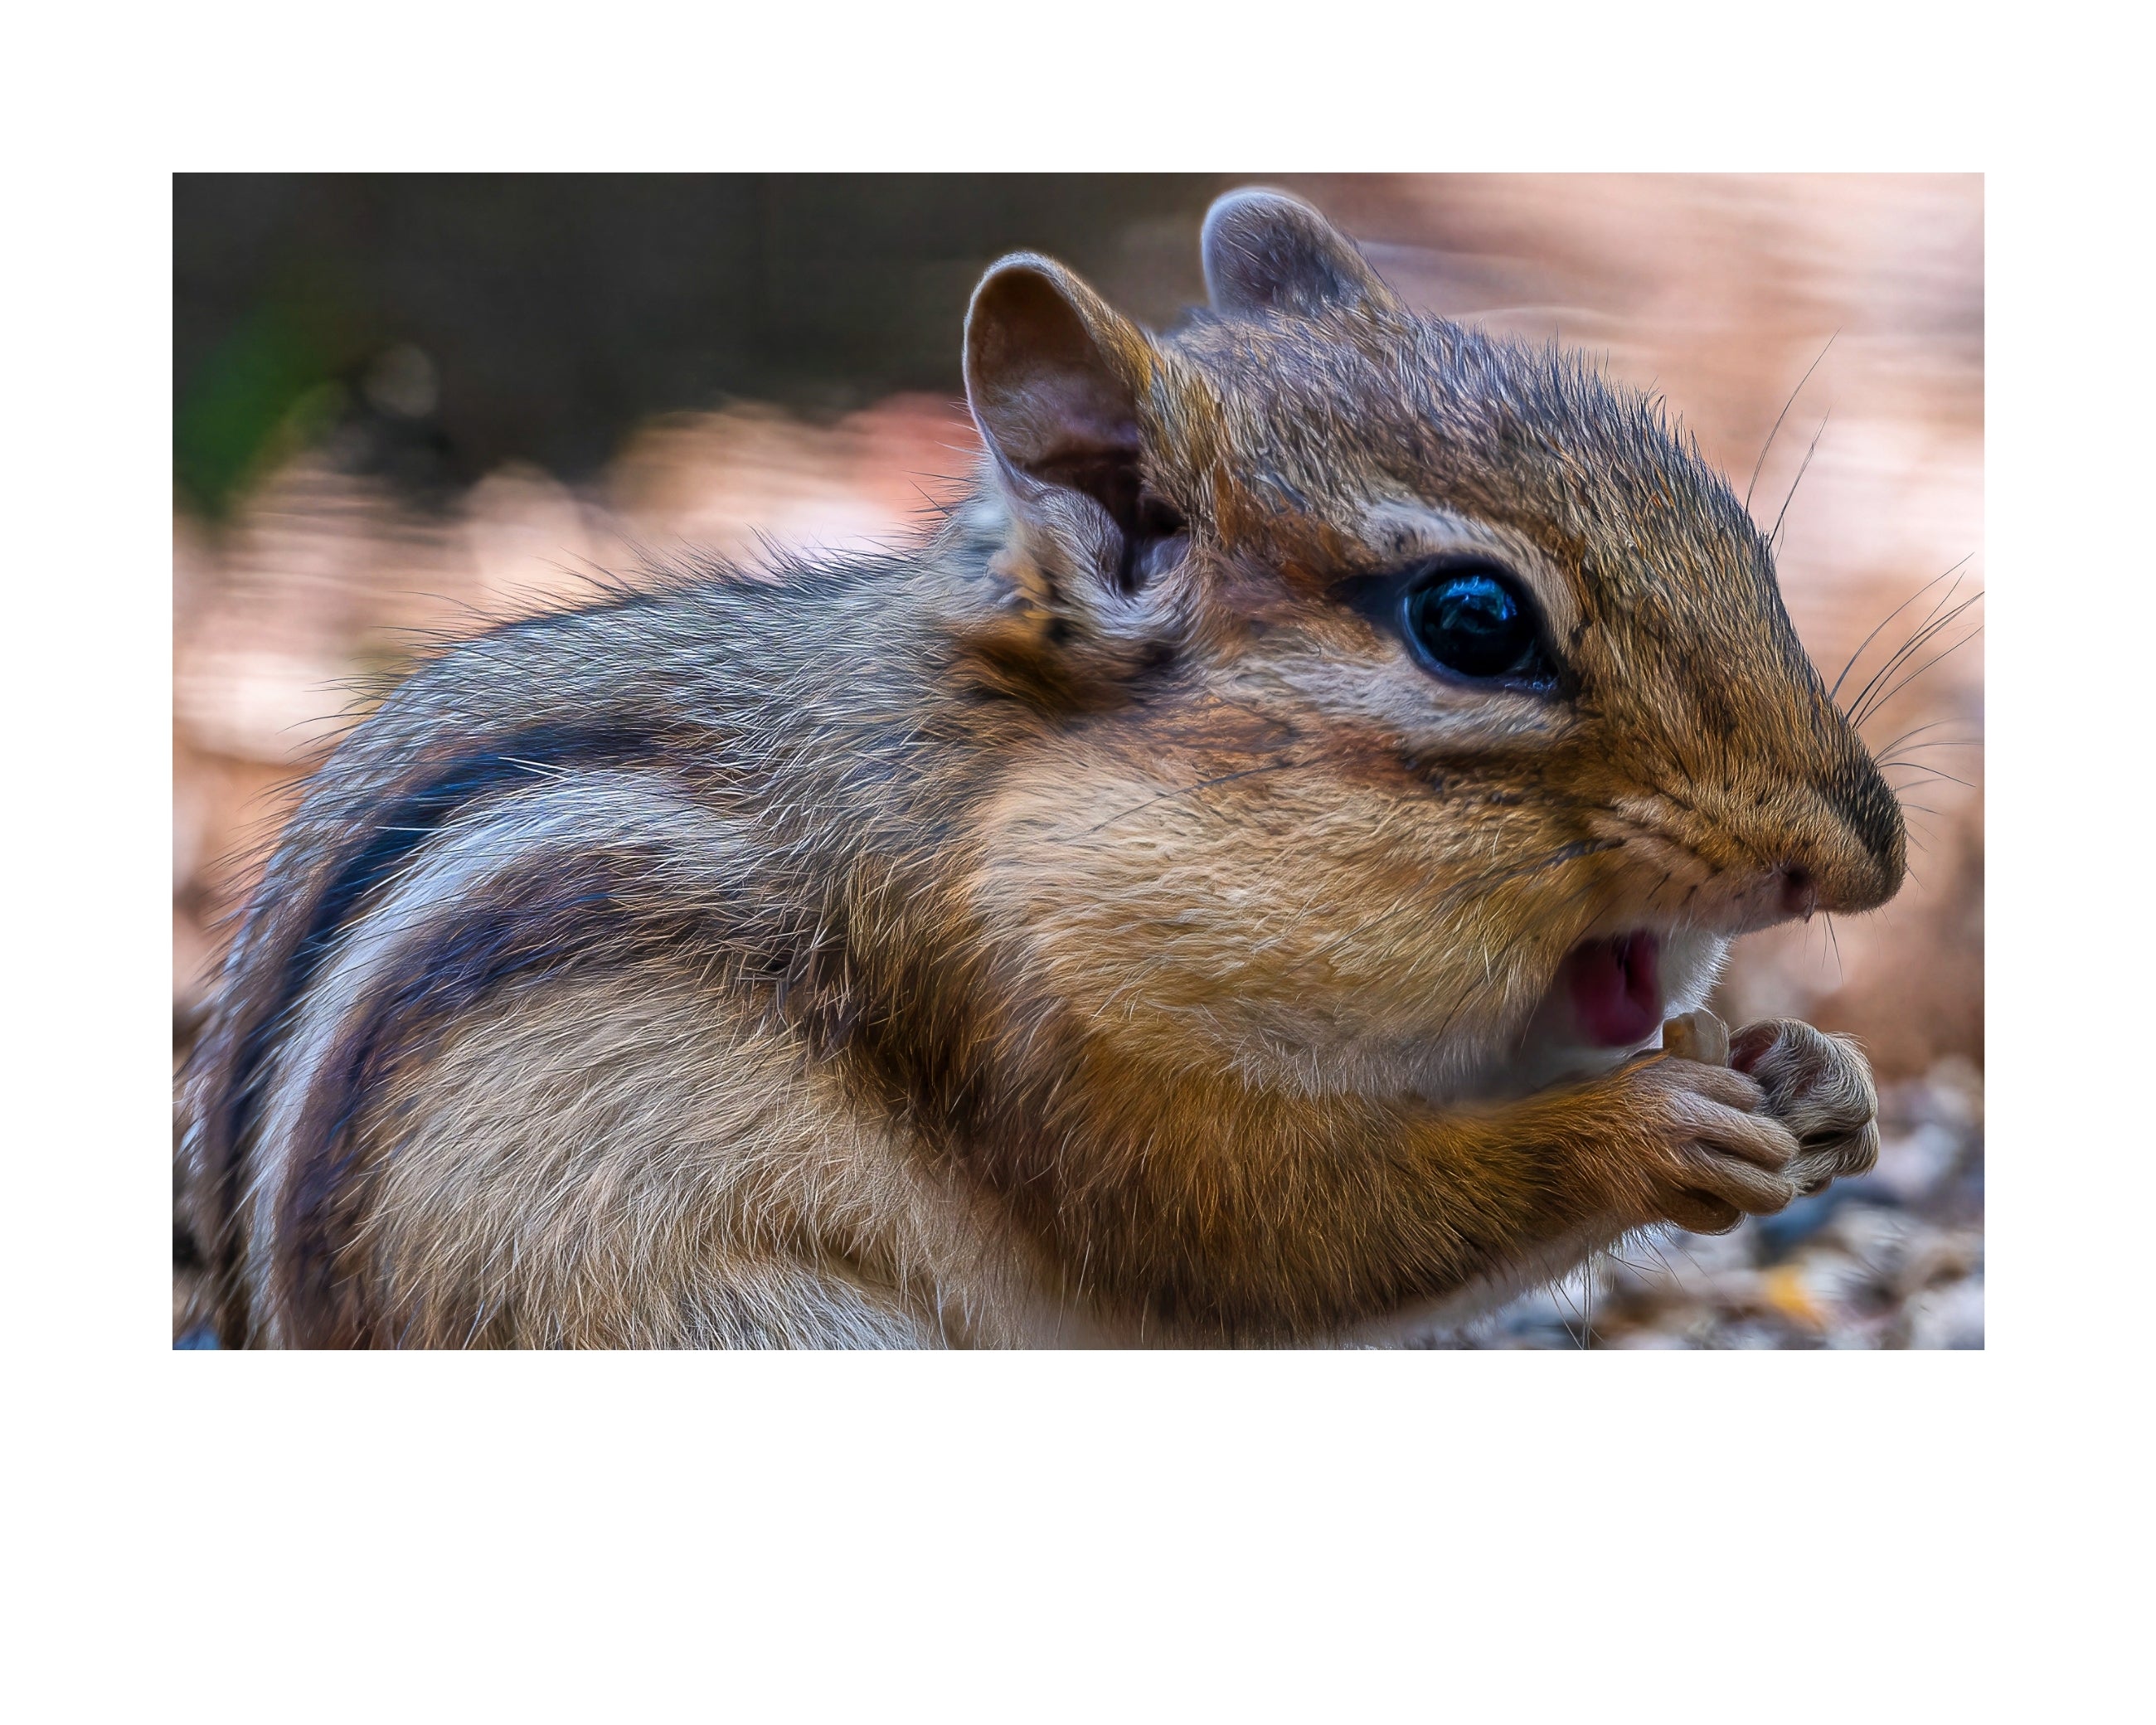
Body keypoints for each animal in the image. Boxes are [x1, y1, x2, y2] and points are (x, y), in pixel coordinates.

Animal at [180, 189, 1900, 1348]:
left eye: (1737, 527)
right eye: (1472, 624)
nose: (1864, 855)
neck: (1047, 809)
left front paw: (1821, 1073)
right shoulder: (1016, 1025)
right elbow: (1279, 1235)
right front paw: (1649, 1128)